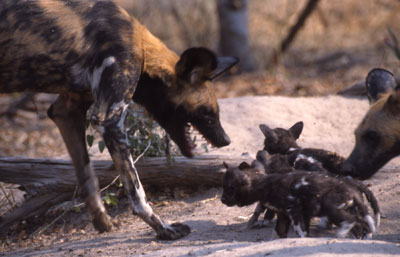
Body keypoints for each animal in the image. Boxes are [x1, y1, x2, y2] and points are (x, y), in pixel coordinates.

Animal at [0, 1, 238, 239]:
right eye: (207, 113)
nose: (226, 140)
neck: (142, 48)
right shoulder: (108, 119)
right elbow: (137, 191)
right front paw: (164, 228)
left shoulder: (66, 111)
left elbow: (87, 177)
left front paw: (102, 222)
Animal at [220, 162, 376, 238]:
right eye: (225, 186)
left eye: (230, 187)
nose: (222, 200)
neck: (265, 184)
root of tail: (352, 188)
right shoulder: (284, 215)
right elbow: (279, 234)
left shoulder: (294, 212)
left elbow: (300, 233)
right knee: (361, 226)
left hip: (332, 208)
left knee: (352, 222)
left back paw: (341, 234)